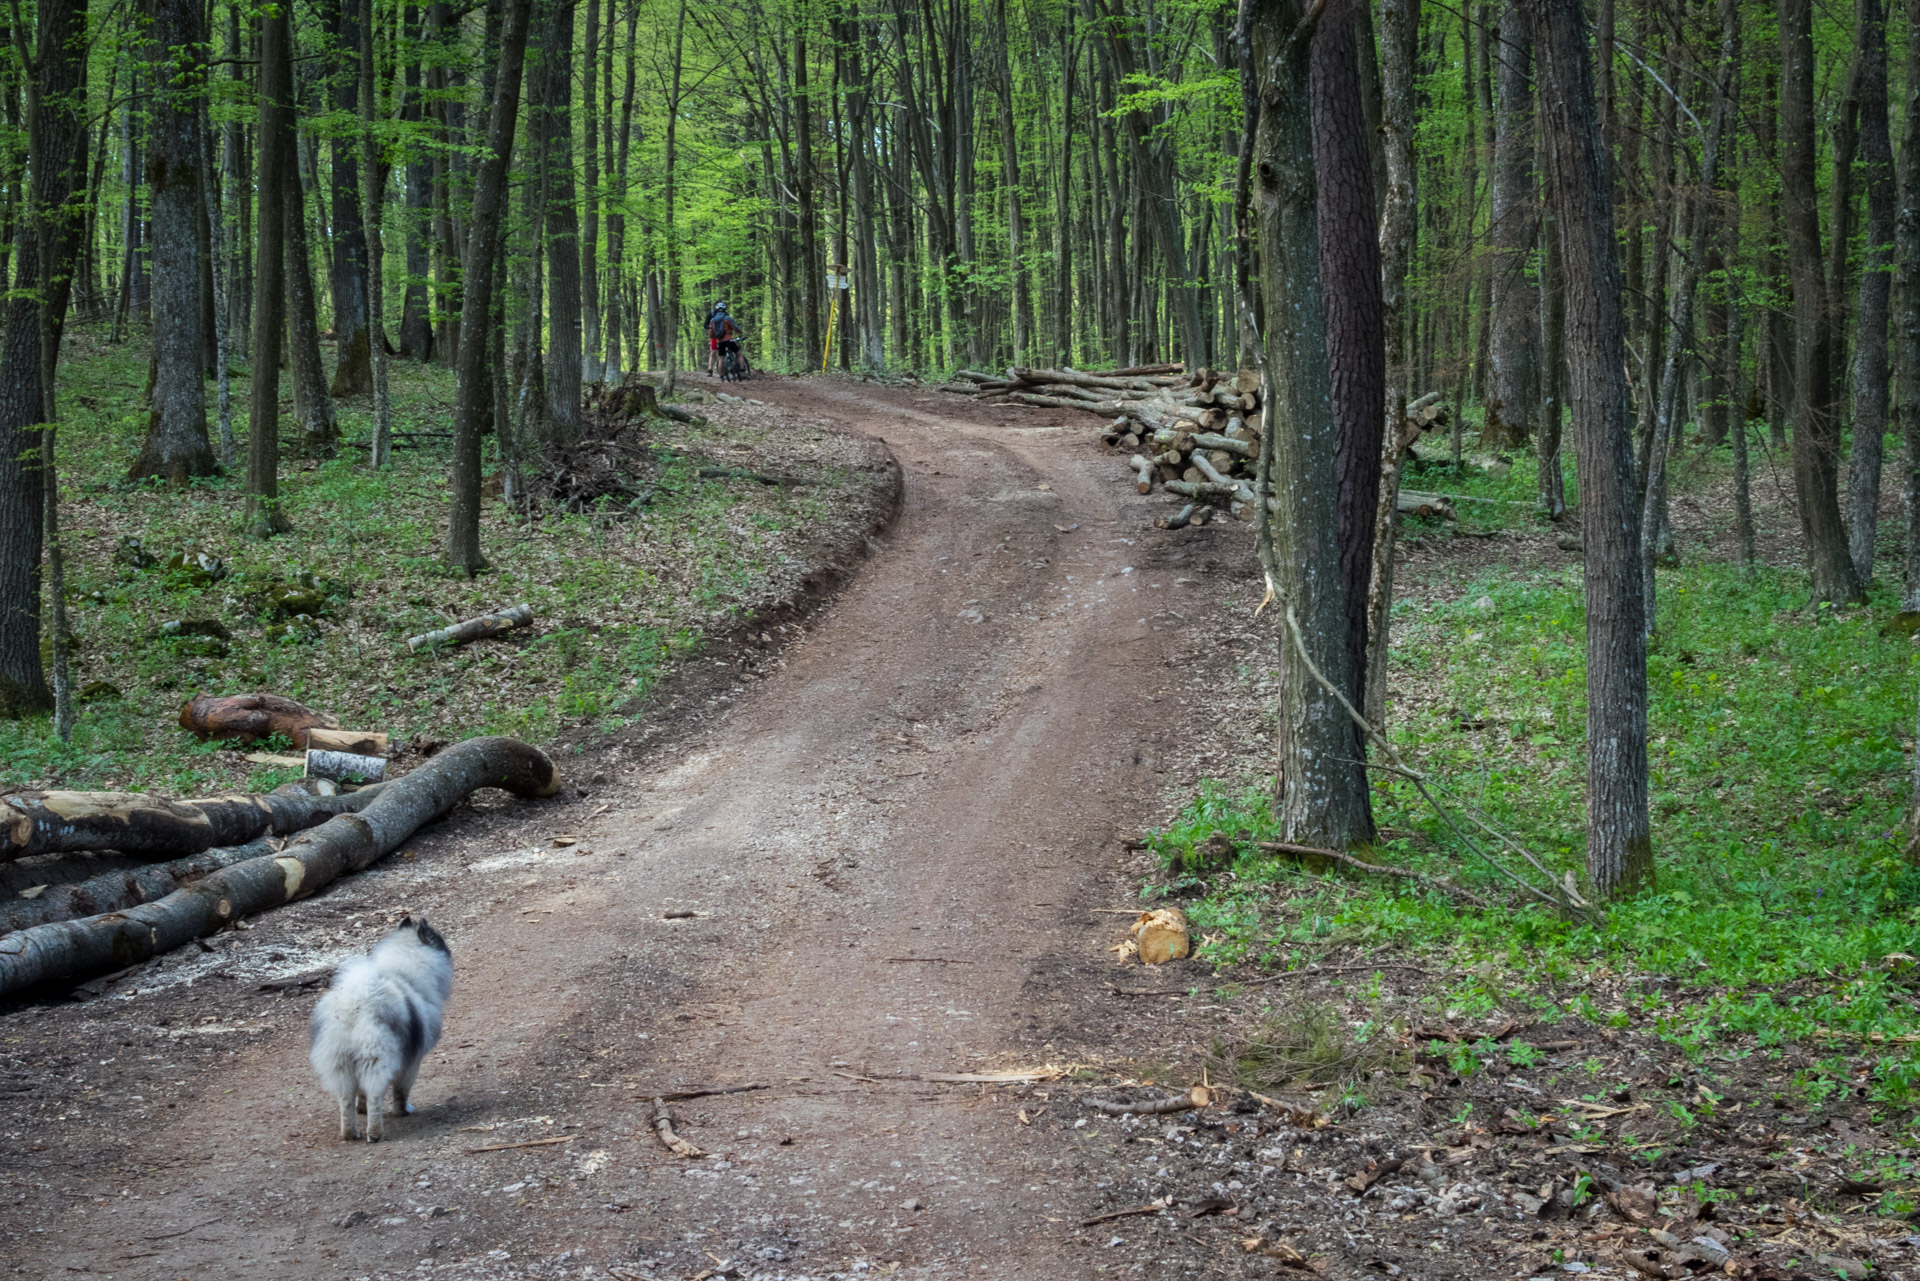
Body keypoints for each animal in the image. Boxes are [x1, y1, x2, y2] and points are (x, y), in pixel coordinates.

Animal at [309, 918, 455, 1144]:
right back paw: (375, 1133)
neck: (405, 975)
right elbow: (401, 1091)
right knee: (375, 1097)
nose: (449, 951)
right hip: (377, 1059)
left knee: (346, 1100)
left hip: (340, 1063)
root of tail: (353, 1006)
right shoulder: (412, 1062)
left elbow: (361, 1094)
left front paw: (361, 1109)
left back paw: (350, 1133)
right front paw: (403, 1110)